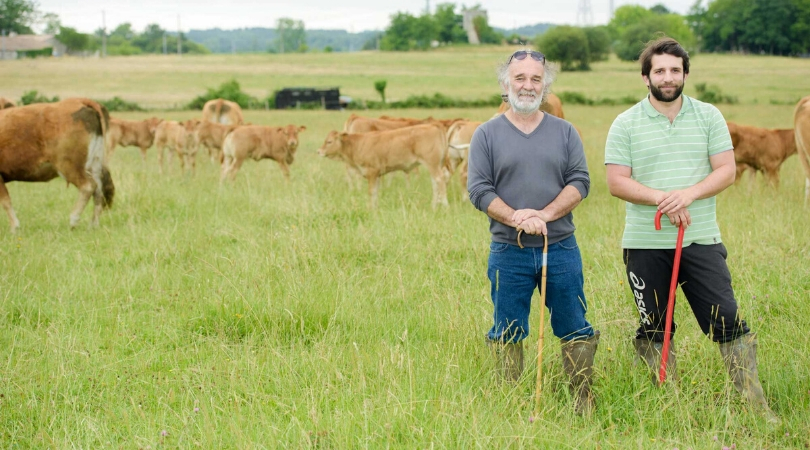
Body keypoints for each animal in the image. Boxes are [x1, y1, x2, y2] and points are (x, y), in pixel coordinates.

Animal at [0, 98, 115, 232]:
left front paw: (14, 227)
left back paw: (73, 220)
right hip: (94, 164)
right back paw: (93, 225)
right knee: (98, 192)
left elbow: (6, 201)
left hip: (69, 167)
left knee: (88, 187)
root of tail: (80, 100)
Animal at [316, 123, 448, 207]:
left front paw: (370, 209)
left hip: (432, 164)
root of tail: (432, 125)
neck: (357, 145)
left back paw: (445, 206)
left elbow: (371, 192)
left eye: (329, 141)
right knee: (435, 184)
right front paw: (375, 209)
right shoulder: (377, 175)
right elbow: (375, 192)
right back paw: (434, 206)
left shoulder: (371, 172)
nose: (319, 151)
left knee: (440, 180)